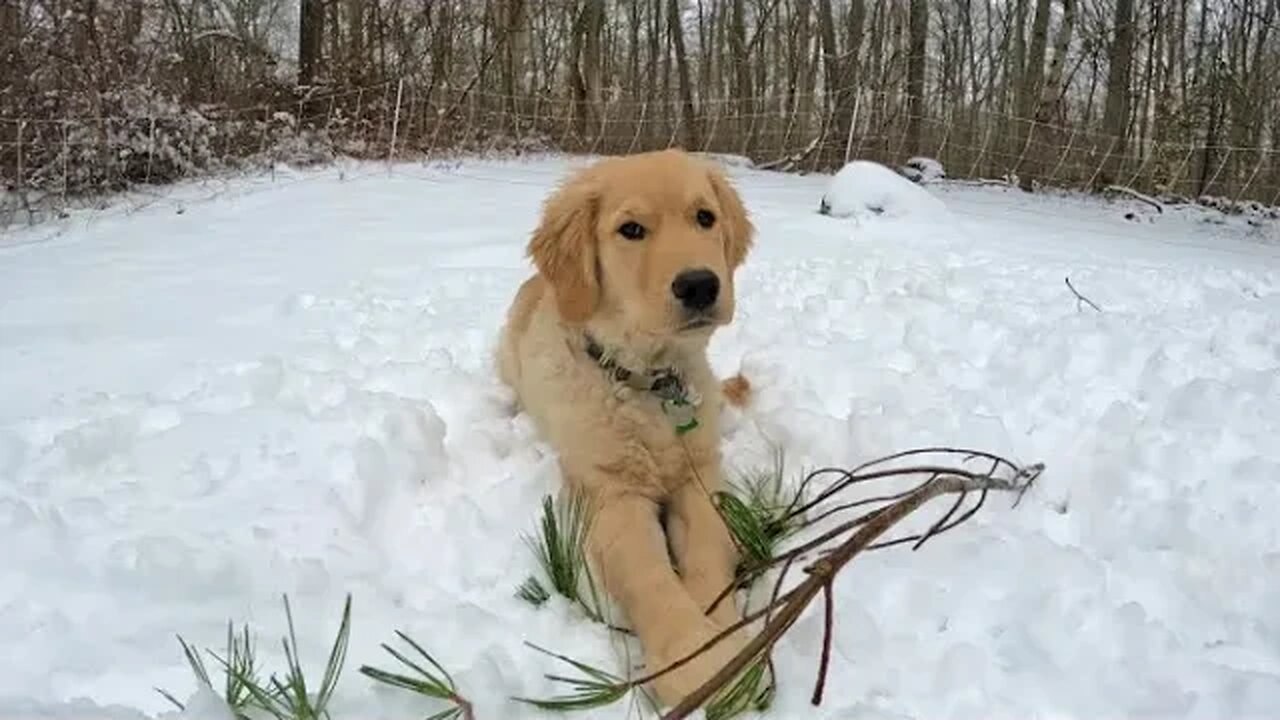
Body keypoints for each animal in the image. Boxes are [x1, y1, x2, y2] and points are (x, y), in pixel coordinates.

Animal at [496, 148, 757, 702]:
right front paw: (694, 660)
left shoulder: (698, 478)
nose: (700, 284)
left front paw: (727, 647)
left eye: (705, 217)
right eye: (631, 229)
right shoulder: (612, 496)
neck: (651, 384)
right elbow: (650, 574)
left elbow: (708, 555)